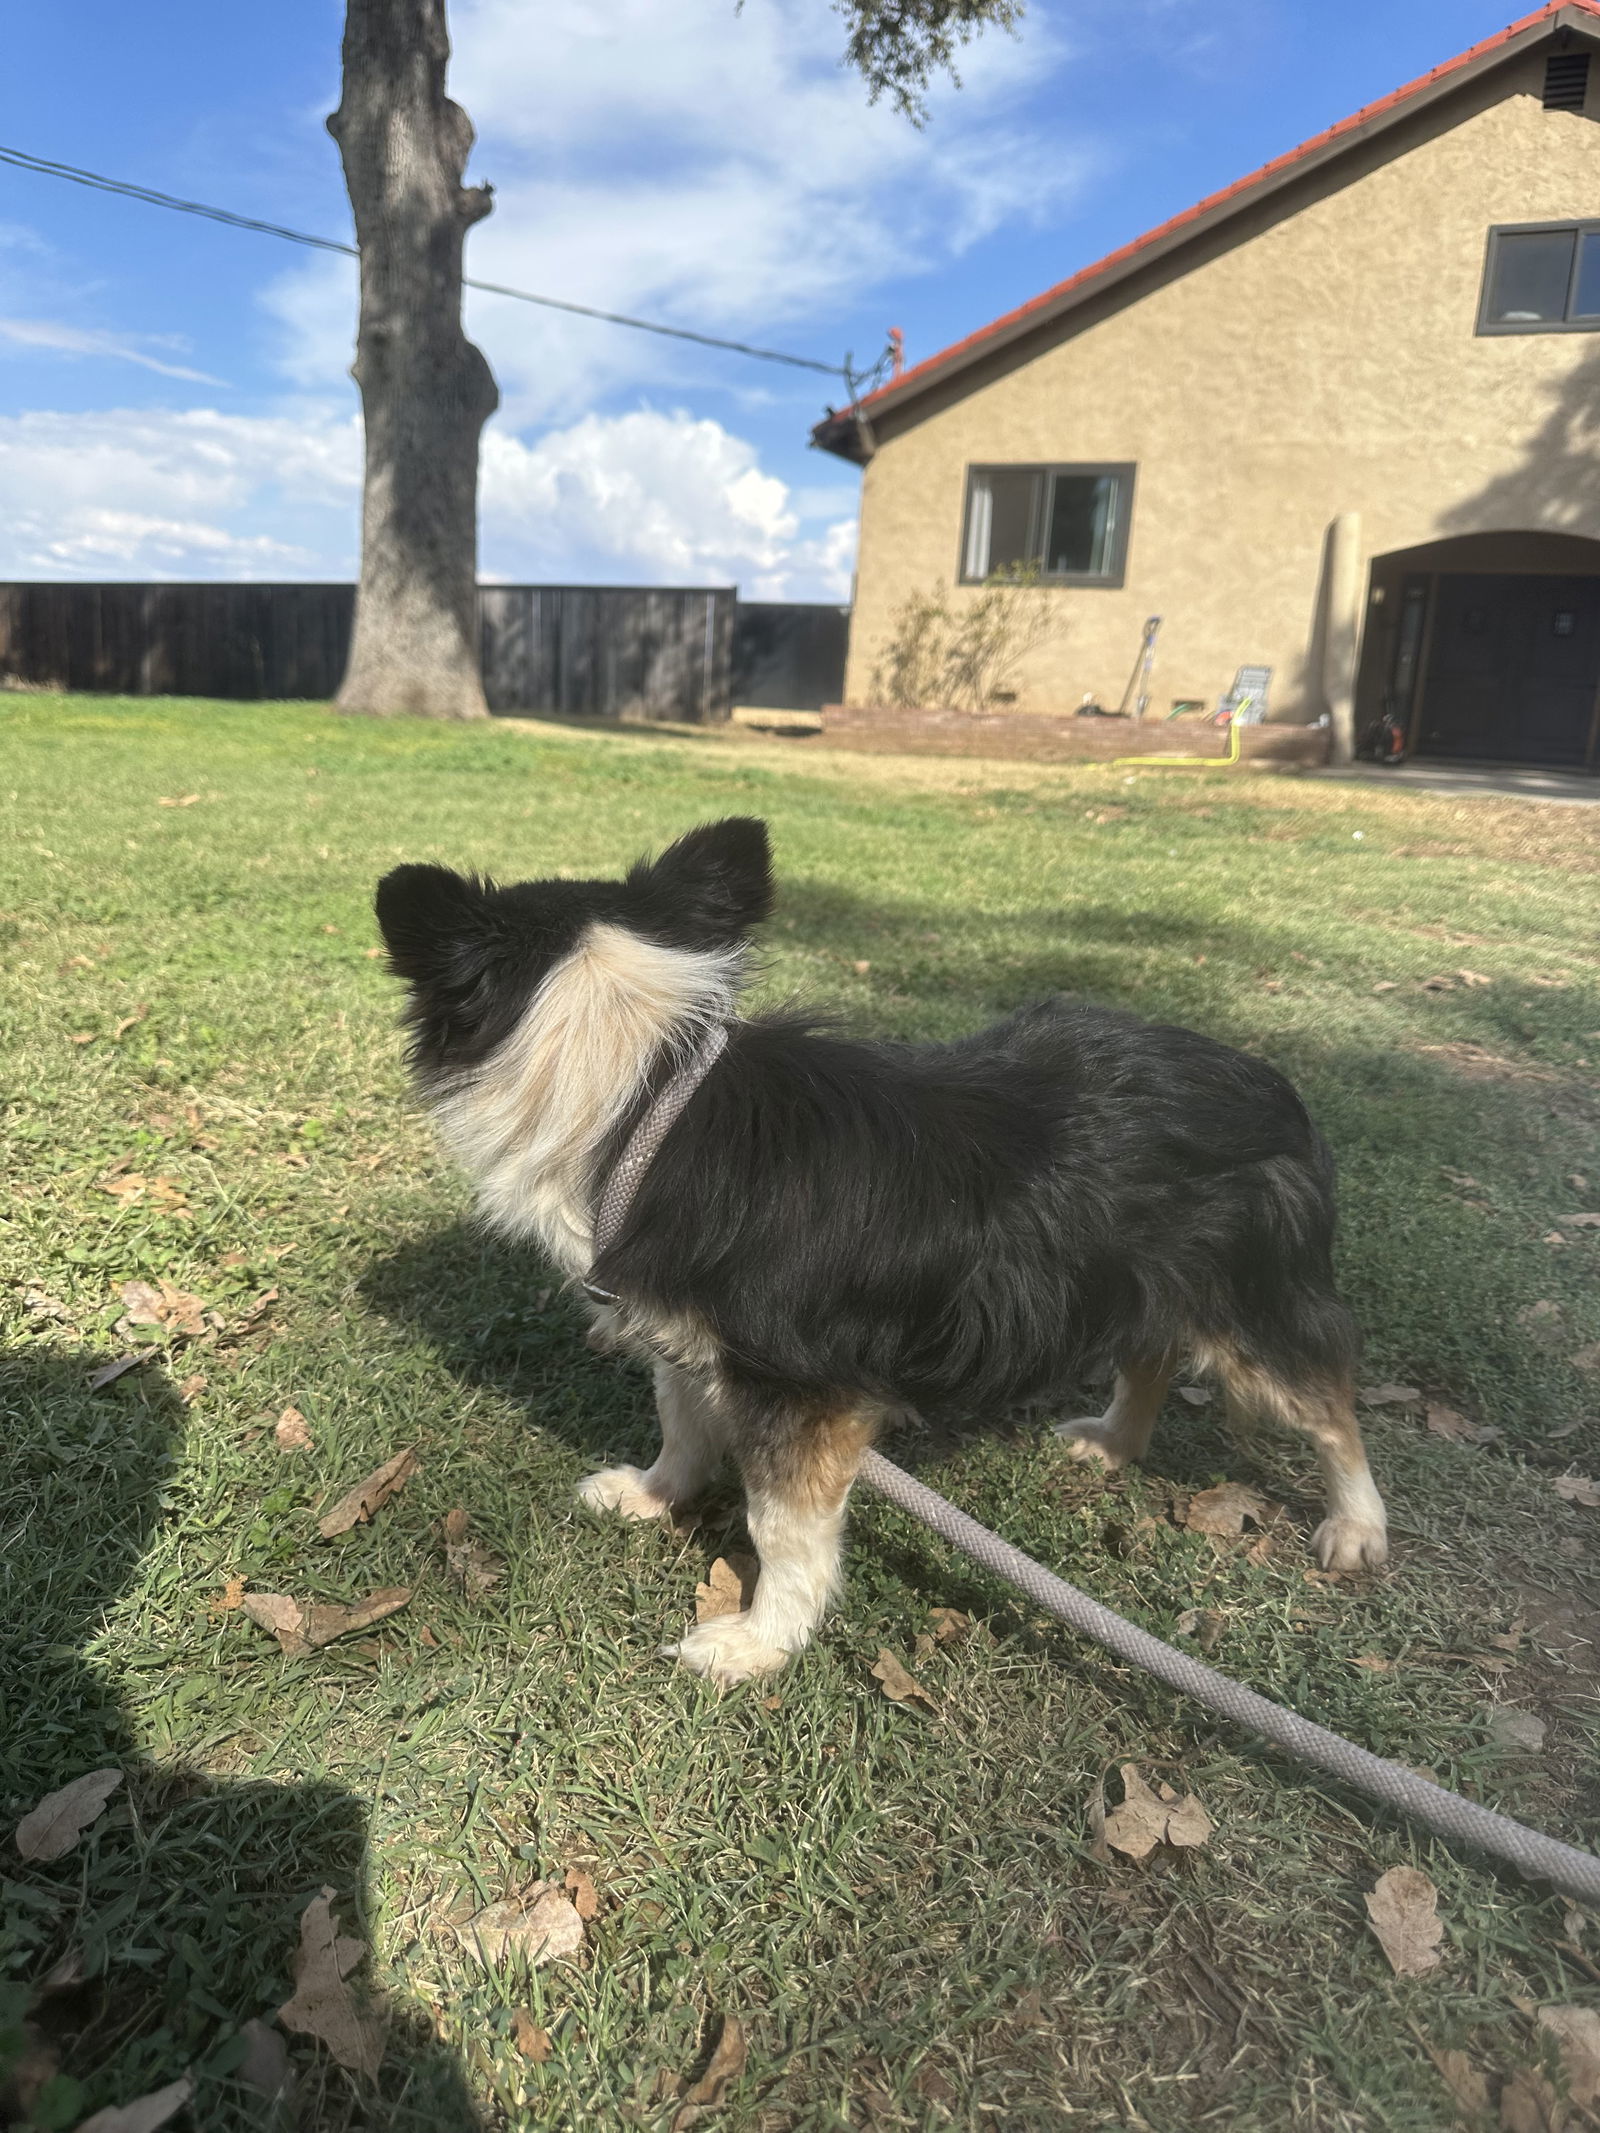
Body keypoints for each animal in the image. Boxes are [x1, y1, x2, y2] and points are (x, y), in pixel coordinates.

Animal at [379, 814, 1390, 1680]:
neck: (651, 1094)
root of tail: (1272, 1081)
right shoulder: (693, 1341)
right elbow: (682, 1418)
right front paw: (657, 1494)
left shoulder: (807, 1396)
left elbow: (783, 1529)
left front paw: (760, 1639)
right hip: (1134, 1276)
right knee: (1151, 1351)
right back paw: (1113, 1442)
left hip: (1253, 1305)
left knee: (1330, 1406)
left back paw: (1357, 1526)